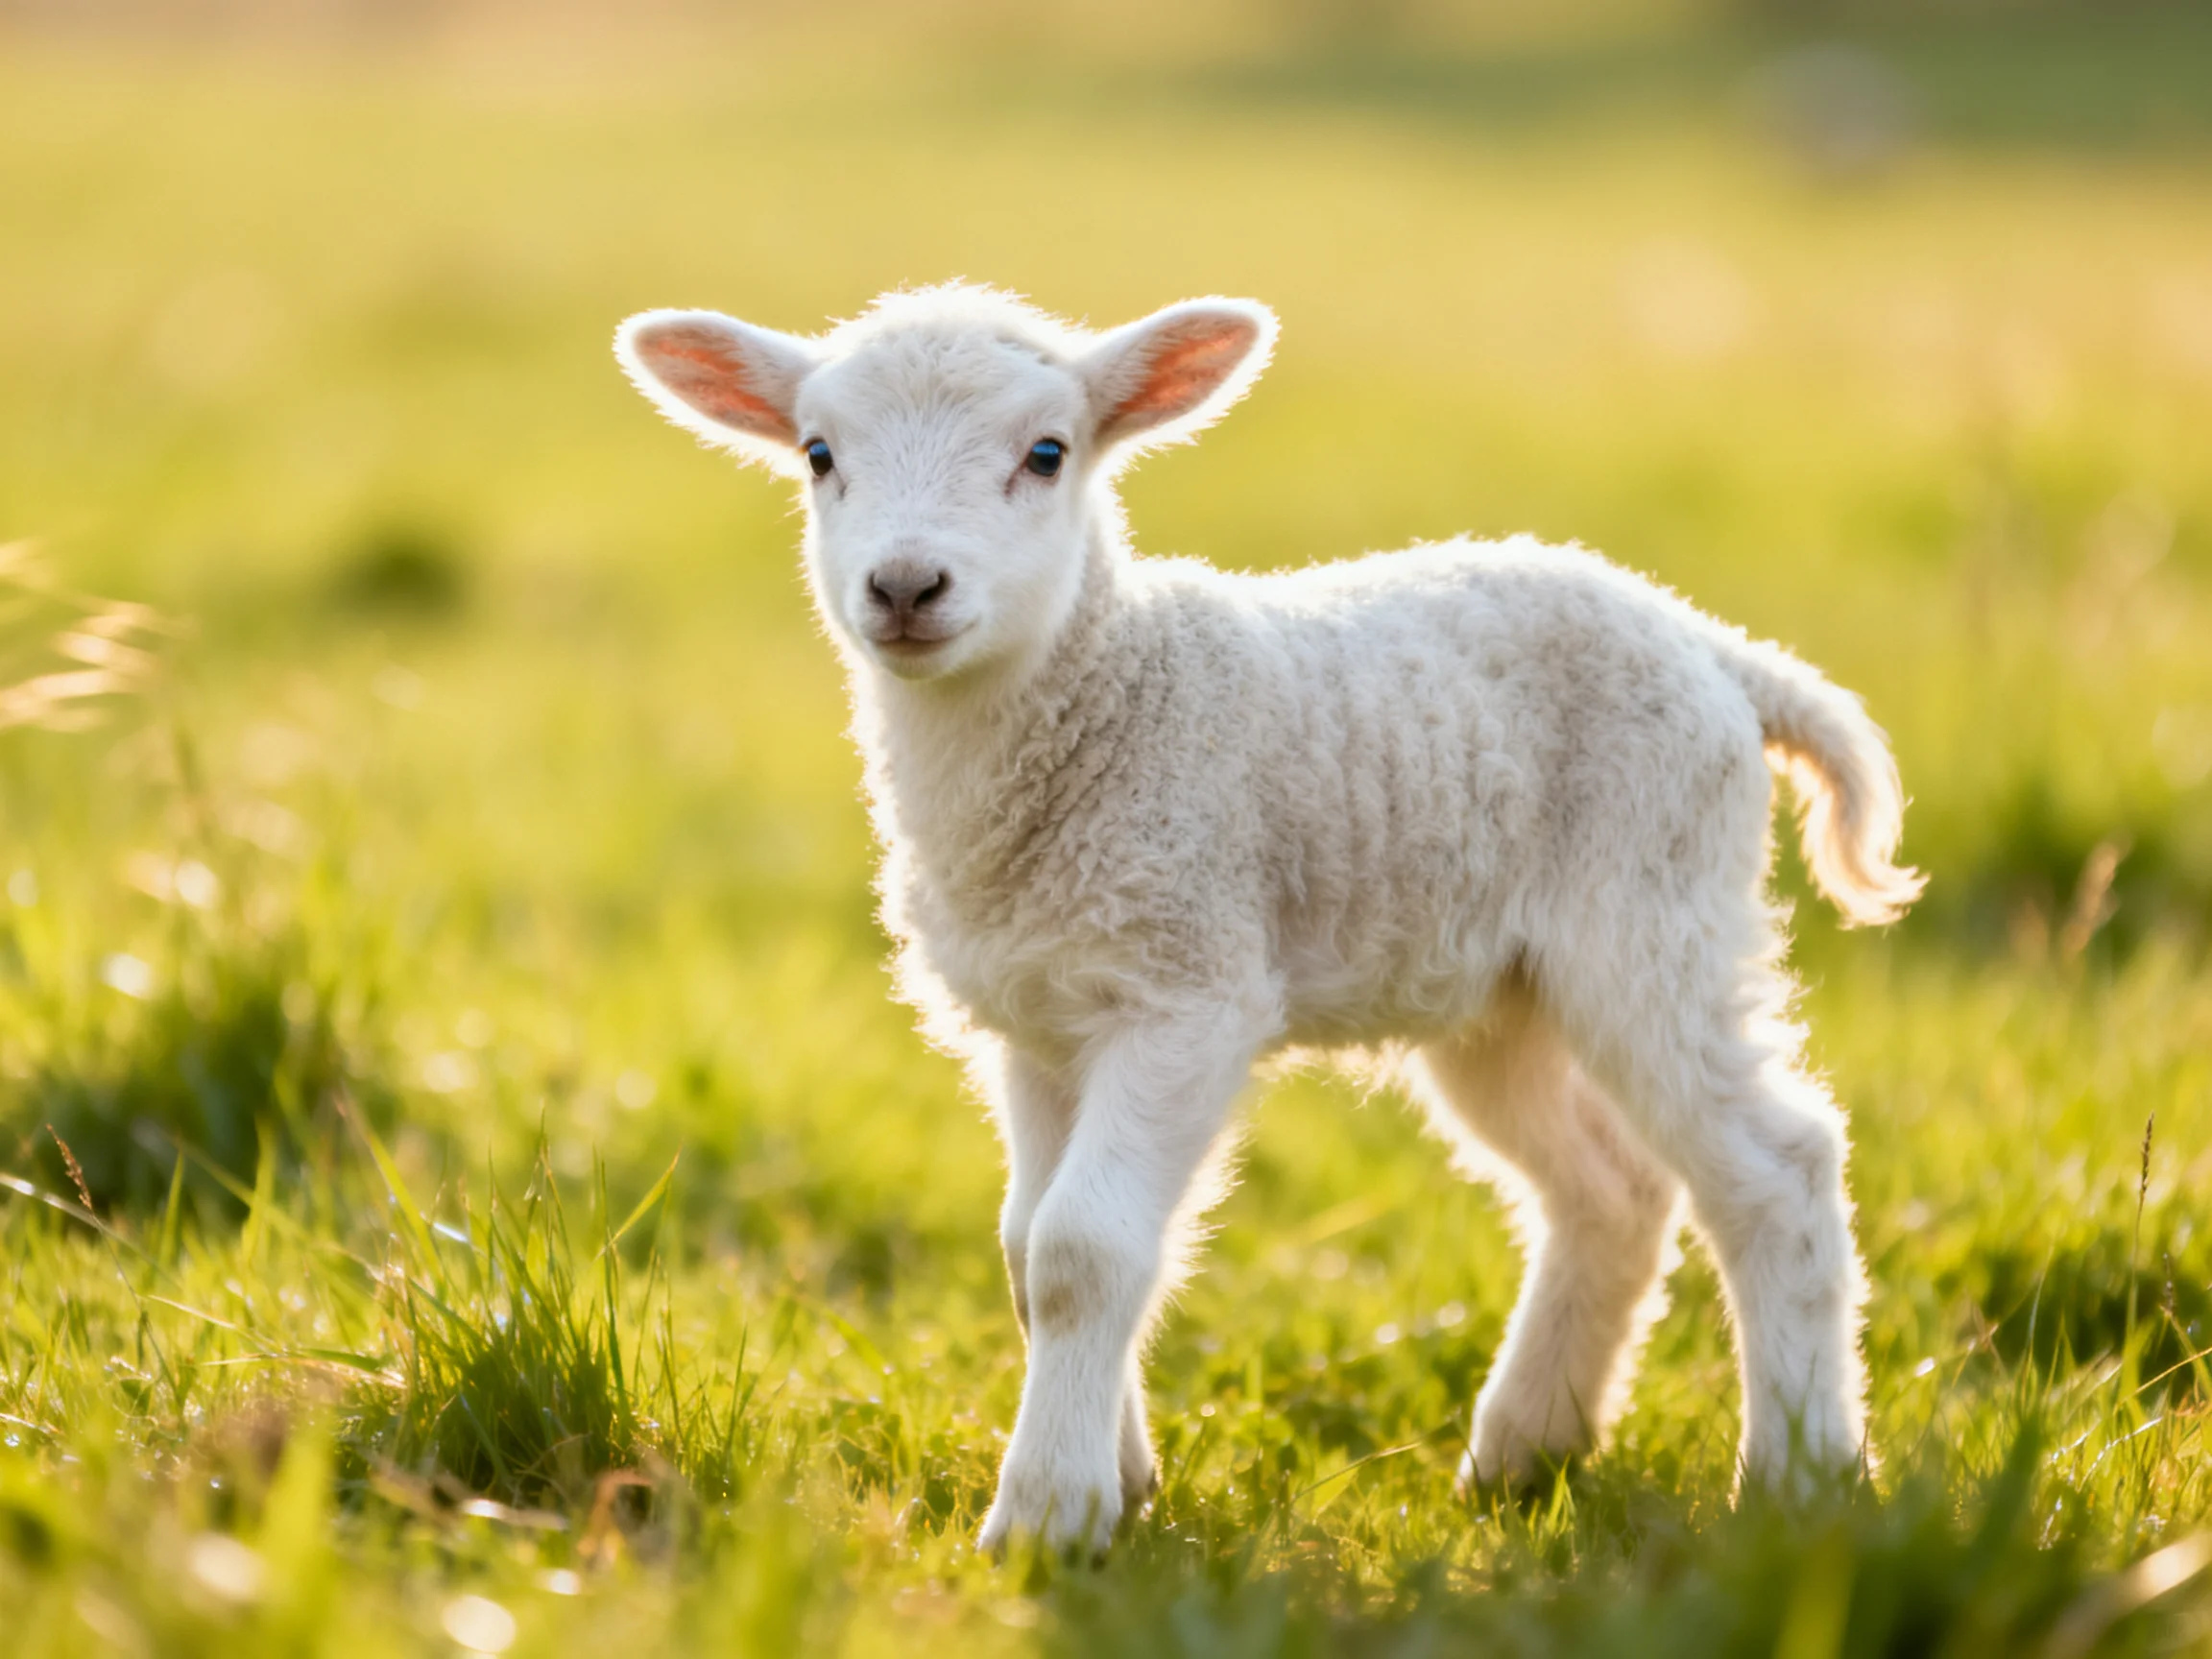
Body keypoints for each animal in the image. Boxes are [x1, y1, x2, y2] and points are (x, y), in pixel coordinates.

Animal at [613, 283, 1924, 1557]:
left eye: (1047, 452)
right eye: (819, 454)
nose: (903, 587)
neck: (1101, 700)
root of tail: (1718, 651)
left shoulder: (1186, 986)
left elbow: (1083, 1250)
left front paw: (1048, 1516)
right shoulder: (1038, 1020)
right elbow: (1028, 1244)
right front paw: (1124, 1474)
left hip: (1655, 911)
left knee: (1779, 1168)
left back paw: (1802, 1476)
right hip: (1500, 995)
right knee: (1611, 1190)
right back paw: (1523, 1453)